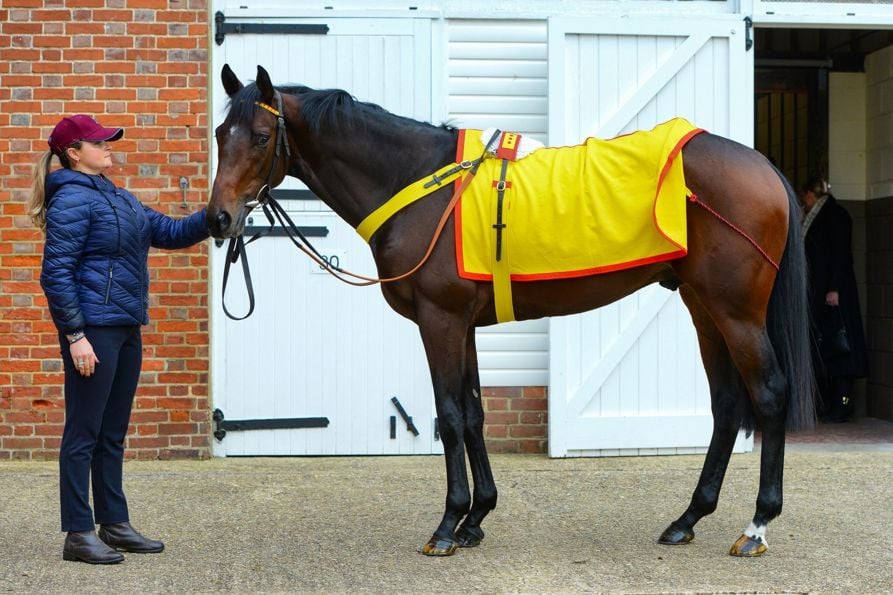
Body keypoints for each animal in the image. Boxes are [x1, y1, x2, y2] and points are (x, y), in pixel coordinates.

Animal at [207, 65, 816, 560]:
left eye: (261, 137)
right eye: (219, 135)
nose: (218, 219)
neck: (420, 185)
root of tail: (762, 165)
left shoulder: (441, 320)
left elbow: (450, 415)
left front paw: (448, 525)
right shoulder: (466, 326)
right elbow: (475, 414)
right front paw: (477, 517)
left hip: (736, 312)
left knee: (768, 395)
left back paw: (757, 525)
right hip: (702, 306)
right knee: (726, 405)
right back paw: (688, 518)